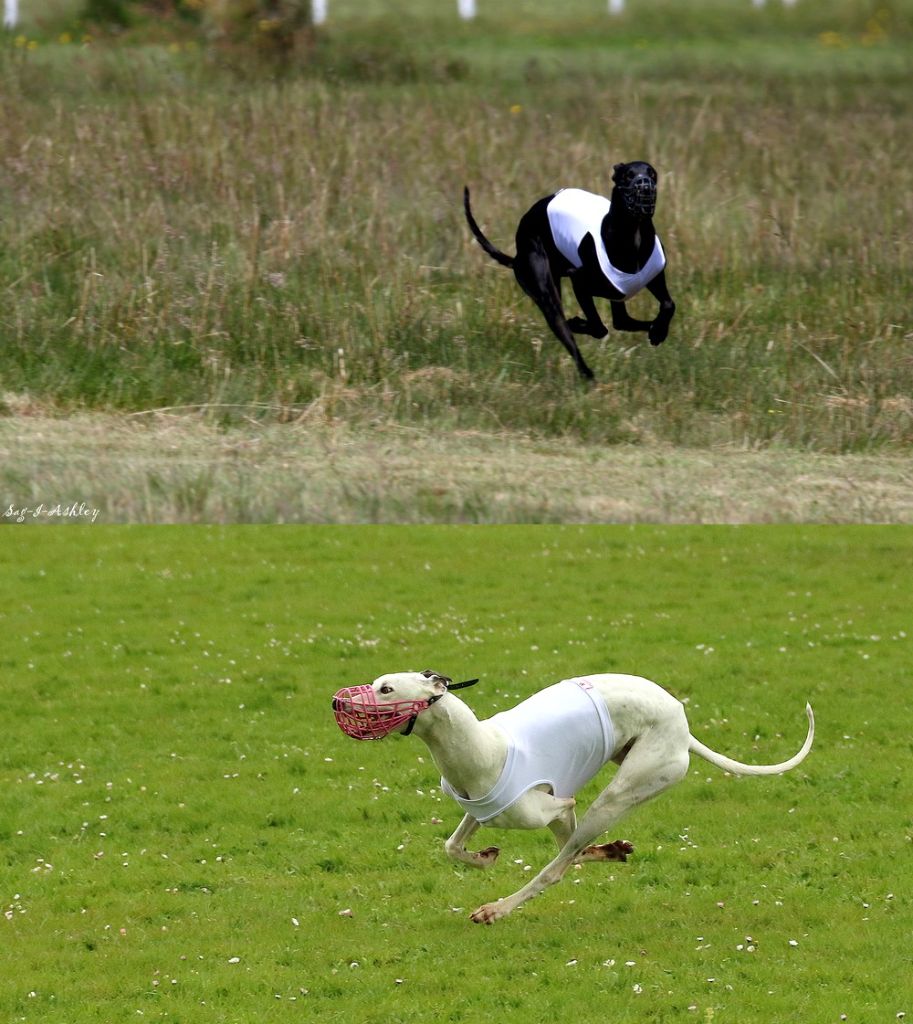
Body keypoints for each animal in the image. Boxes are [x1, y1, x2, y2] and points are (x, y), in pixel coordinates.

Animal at [333, 667, 814, 925]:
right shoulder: (481, 808)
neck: (484, 747)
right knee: (573, 854)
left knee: (559, 865)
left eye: (386, 689)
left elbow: (562, 843)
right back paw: (611, 850)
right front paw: (484, 857)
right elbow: (452, 846)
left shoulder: (558, 804)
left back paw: (498, 909)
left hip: (621, 792)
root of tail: (683, 725)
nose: (337, 703)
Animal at [466, 161, 675, 382]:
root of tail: (516, 256)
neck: (634, 236)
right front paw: (578, 323)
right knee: (566, 325)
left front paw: (659, 331)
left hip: (614, 293)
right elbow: (599, 327)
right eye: (628, 175)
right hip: (546, 291)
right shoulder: (579, 282)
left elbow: (669, 304)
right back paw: (586, 371)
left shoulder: (653, 277)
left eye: (652, 173)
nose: (645, 185)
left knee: (621, 321)